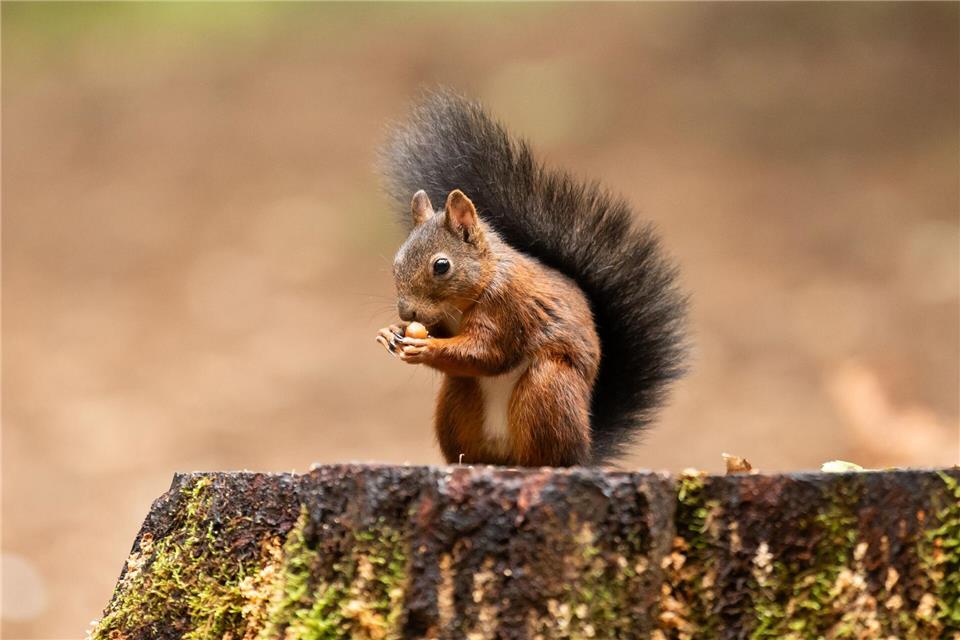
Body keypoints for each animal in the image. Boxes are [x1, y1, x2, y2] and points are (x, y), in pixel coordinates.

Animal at [375, 90, 687, 467]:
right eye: (397, 259)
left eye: (441, 266)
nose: (406, 313)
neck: (471, 294)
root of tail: (583, 452)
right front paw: (391, 332)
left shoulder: (508, 307)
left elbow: (487, 353)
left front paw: (425, 346)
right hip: (458, 398)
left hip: (547, 389)